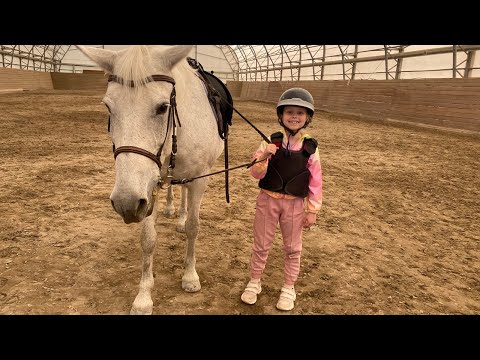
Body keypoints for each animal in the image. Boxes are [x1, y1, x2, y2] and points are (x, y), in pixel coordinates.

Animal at [77, 45, 225, 316]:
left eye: (163, 107)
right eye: (108, 108)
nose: (125, 203)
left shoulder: (200, 179)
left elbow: (194, 228)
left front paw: (190, 276)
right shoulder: (147, 188)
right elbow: (148, 240)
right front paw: (144, 297)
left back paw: (181, 219)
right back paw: (172, 210)